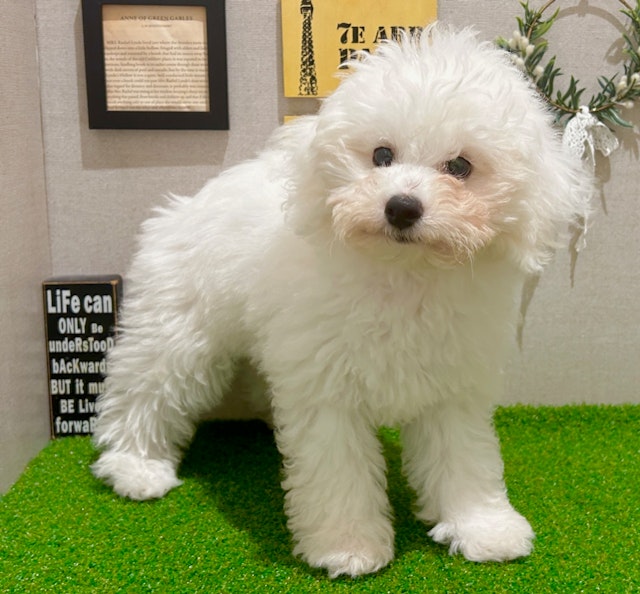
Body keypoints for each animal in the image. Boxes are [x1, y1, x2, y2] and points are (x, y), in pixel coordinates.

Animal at [92, 25, 592, 576]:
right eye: (381, 156)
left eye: (460, 166)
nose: (401, 207)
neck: (404, 275)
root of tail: (186, 203)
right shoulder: (328, 393)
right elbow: (339, 473)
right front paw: (348, 546)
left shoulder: (453, 388)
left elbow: (465, 459)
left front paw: (482, 527)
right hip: (178, 327)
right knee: (147, 388)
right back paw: (135, 467)